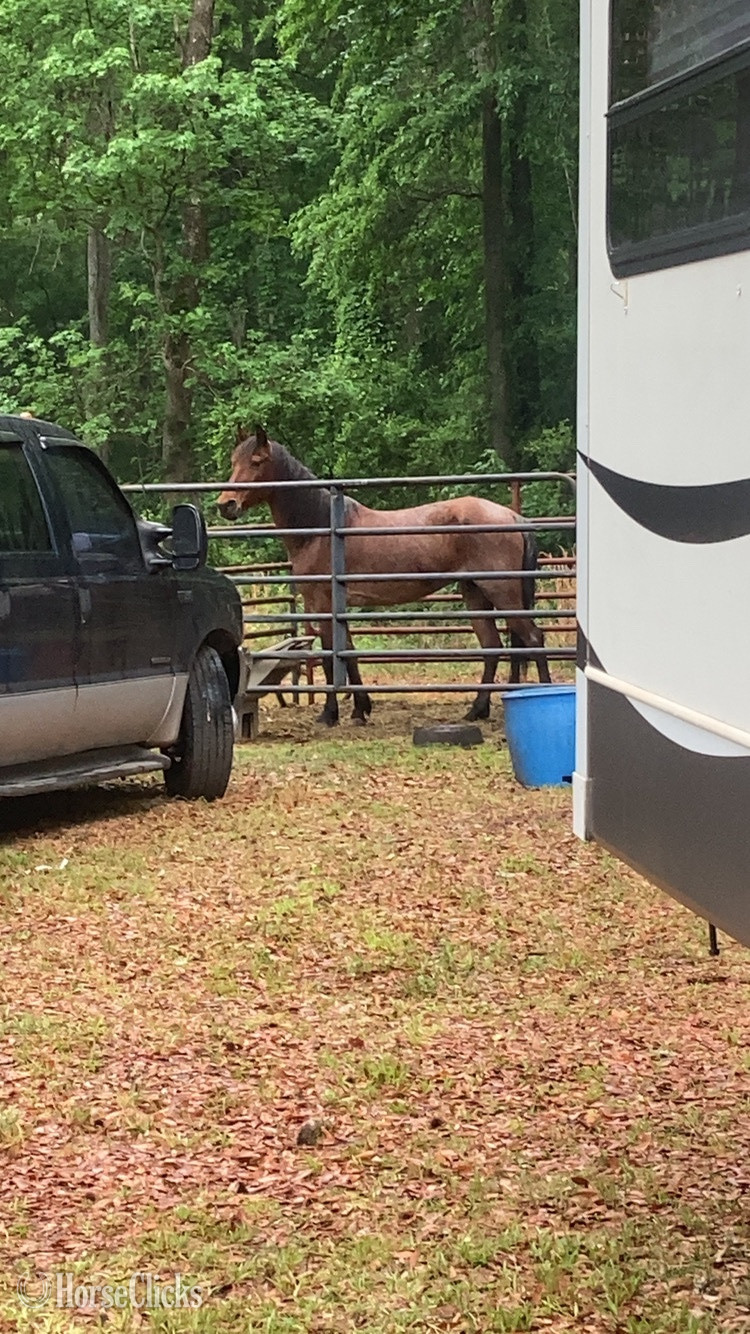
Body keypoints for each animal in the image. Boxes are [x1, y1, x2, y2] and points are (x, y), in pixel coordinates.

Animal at [217, 426, 550, 726]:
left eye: (257, 461)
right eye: (234, 461)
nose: (225, 504)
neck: (320, 528)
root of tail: (513, 517)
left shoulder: (323, 604)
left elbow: (330, 656)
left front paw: (330, 714)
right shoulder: (338, 608)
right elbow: (348, 653)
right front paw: (360, 709)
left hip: (501, 591)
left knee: (533, 638)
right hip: (475, 593)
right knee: (492, 646)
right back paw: (476, 710)